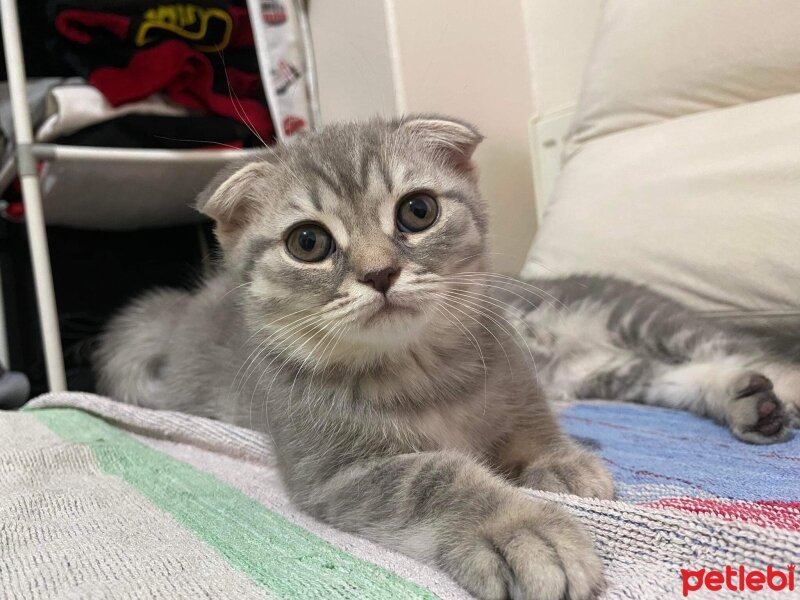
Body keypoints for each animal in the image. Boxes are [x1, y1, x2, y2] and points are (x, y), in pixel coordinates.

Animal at [97, 116, 796, 600]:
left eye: (418, 210)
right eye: (308, 243)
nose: (380, 273)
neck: (422, 371)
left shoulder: (518, 378)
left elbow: (533, 426)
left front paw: (560, 461)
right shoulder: (334, 471)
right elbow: (437, 476)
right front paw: (519, 528)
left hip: (638, 319)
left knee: (750, 352)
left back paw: (770, 393)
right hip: (604, 368)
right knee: (680, 375)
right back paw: (748, 400)